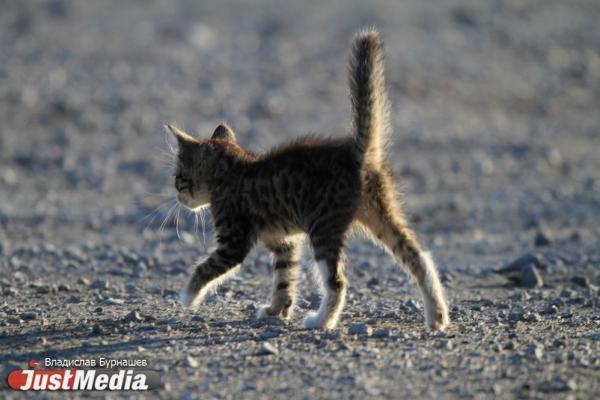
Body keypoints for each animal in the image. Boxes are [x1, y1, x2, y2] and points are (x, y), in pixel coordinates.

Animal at [166, 29, 448, 332]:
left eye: (180, 179)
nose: (178, 197)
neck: (232, 171)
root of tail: (355, 153)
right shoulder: (284, 241)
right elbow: (284, 278)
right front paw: (275, 310)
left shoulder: (234, 238)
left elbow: (208, 265)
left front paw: (187, 295)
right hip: (381, 213)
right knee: (418, 257)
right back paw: (437, 315)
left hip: (323, 226)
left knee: (337, 281)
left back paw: (321, 320)